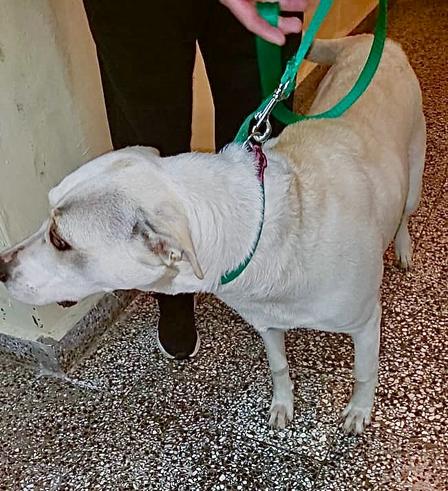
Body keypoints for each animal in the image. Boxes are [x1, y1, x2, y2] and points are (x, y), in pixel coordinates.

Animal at [0, 35, 425, 434]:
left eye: (60, 240)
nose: (0, 267)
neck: (262, 232)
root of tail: (373, 41)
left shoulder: (365, 322)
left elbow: (364, 373)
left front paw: (358, 412)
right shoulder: (266, 323)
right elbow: (279, 367)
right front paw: (282, 405)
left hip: (413, 178)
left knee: (404, 213)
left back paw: (402, 247)